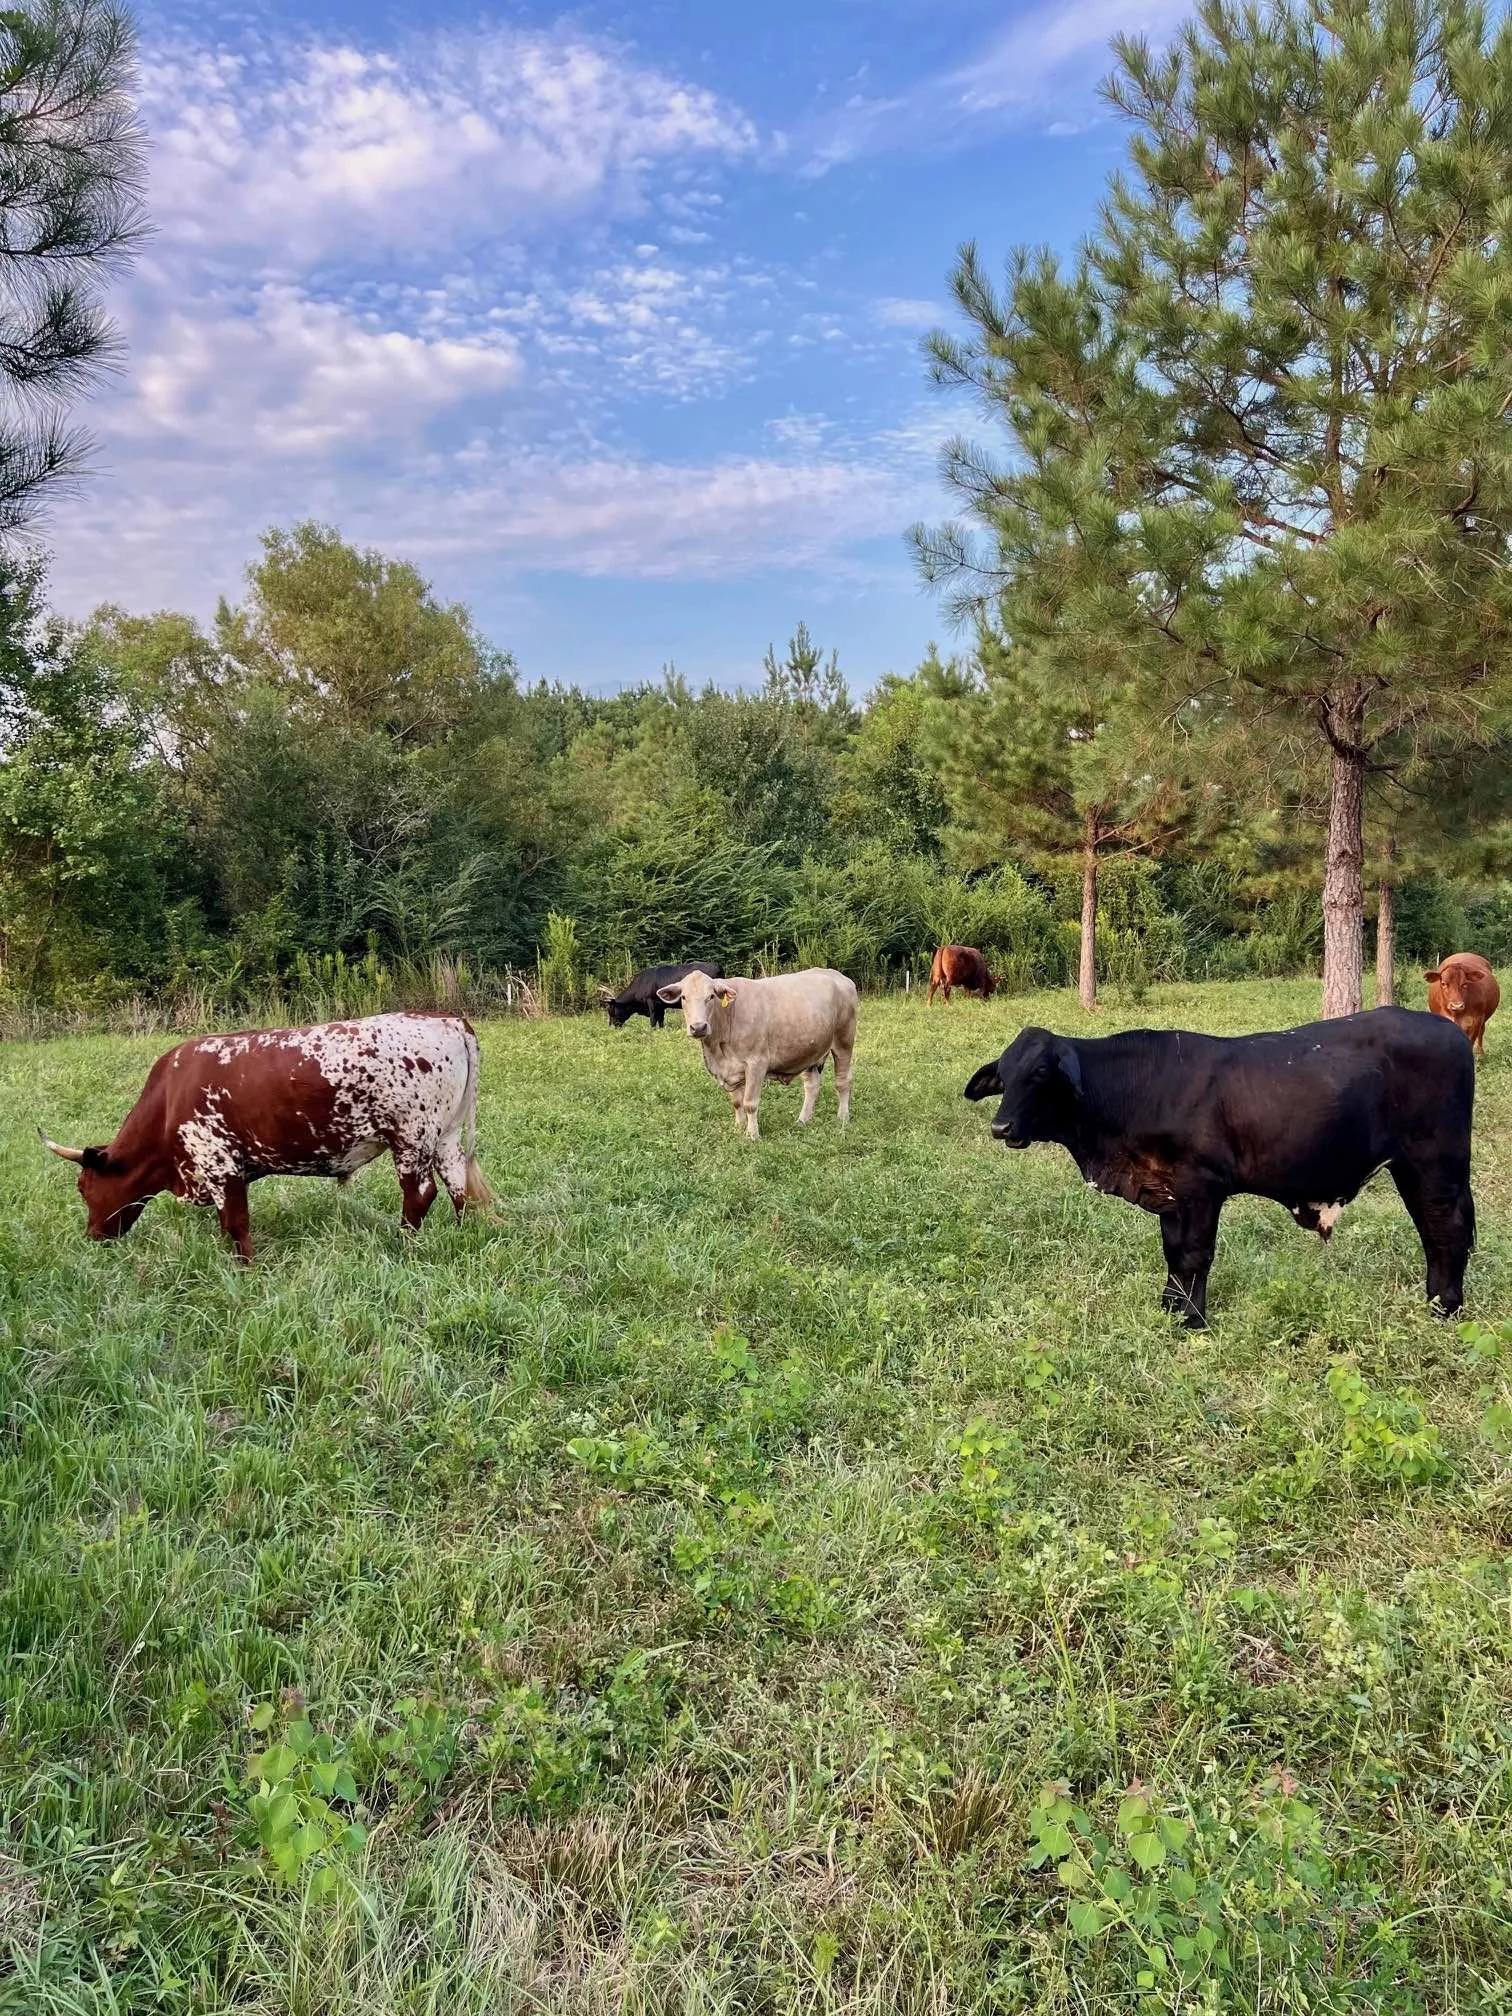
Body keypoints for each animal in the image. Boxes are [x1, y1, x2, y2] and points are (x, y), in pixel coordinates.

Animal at [40, 1011, 490, 1262]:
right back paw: (461, 1234)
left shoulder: (220, 1164)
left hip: (412, 1137)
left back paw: (404, 1245)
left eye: (83, 1188)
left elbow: (236, 1223)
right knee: (458, 1188)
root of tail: (444, 1019)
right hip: (445, 1136)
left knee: (420, 1195)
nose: (93, 1237)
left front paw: (247, 1271)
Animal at [655, 967, 857, 1140]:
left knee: (843, 1081)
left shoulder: (756, 1063)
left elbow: (749, 1103)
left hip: (844, 1041)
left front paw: (752, 1135)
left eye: (711, 996)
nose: (698, 1027)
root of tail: (838, 975)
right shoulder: (731, 1069)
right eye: (683, 997)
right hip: (810, 1050)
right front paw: (738, 1127)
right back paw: (803, 1120)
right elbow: (737, 1102)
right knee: (812, 1085)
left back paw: (842, 1116)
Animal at [964, 1008, 1474, 1326]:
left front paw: (1193, 1319)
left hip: (1435, 1164)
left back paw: (1444, 1308)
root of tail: (1448, 1029)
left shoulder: (1201, 1187)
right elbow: (1172, 1253)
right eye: (1004, 1076)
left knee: (1445, 1230)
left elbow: (1194, 1254)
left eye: (1040, 1074)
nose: (1000, 1126)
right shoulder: (1169, 1192)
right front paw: (1170, 1308)